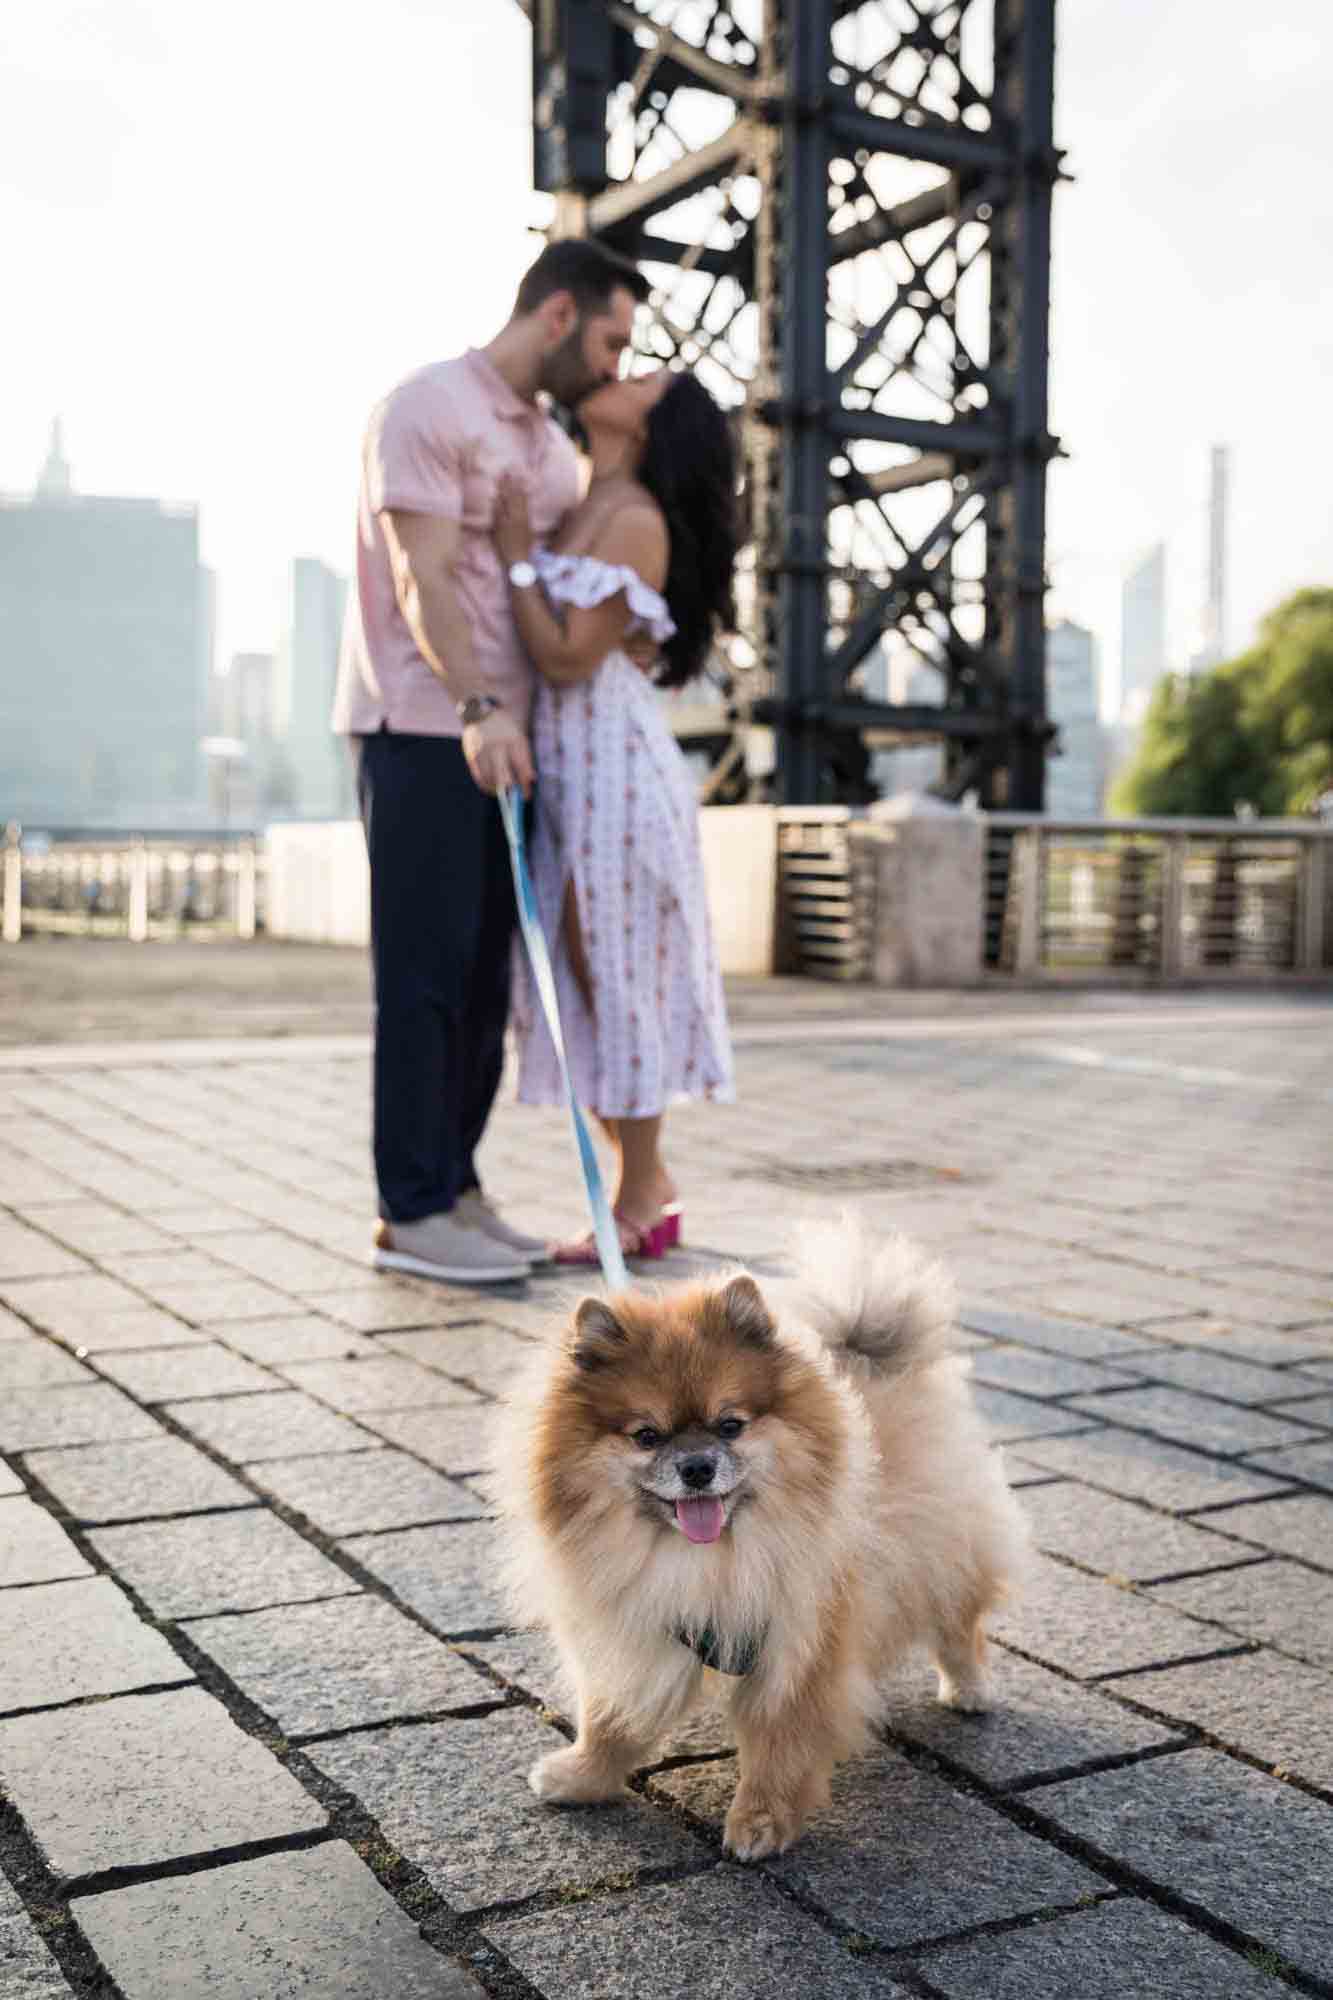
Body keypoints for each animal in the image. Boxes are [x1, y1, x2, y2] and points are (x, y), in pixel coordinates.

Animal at [492, 1216, 1020, 1856]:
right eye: (646, 1435)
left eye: (730, 1425)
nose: (697, 1467)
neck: (704, 1560)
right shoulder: (633, 1626)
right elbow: (609, 1717)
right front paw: (582, 1776)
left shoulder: (798, 1649)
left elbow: (779, 1746)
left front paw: (760, 1822)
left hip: (945, 1548)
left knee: (957, 1623)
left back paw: (970, 1688)